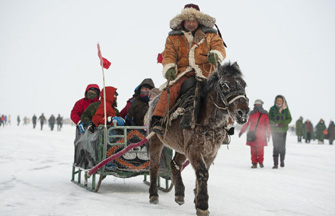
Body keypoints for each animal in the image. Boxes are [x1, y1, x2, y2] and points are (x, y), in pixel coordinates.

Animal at [146, 61, 249, 216]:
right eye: (225, 85)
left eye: (244, 85)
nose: (243, 112)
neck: (209, 122)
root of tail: (153, 101)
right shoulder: (194, 149)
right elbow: (202, 173)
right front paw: (202, 204)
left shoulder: (211, 151)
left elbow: (203, 172)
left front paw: (196, 198)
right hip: (156, 141)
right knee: (154, 165)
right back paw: (153, 194)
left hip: (181, 147)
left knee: (174, 164)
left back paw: (179, 193)